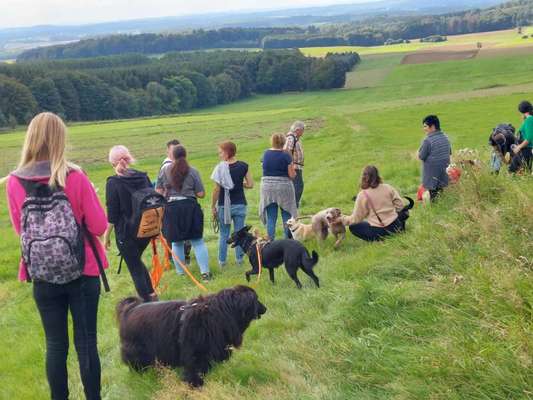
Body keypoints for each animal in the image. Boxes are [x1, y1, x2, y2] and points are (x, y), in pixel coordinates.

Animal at [116, 284, 266, 388]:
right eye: (256, 299)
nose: (265, 308)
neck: (219, 313)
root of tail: (129, 310)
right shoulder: (195, 357)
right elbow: (194, 374)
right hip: (138, 352)